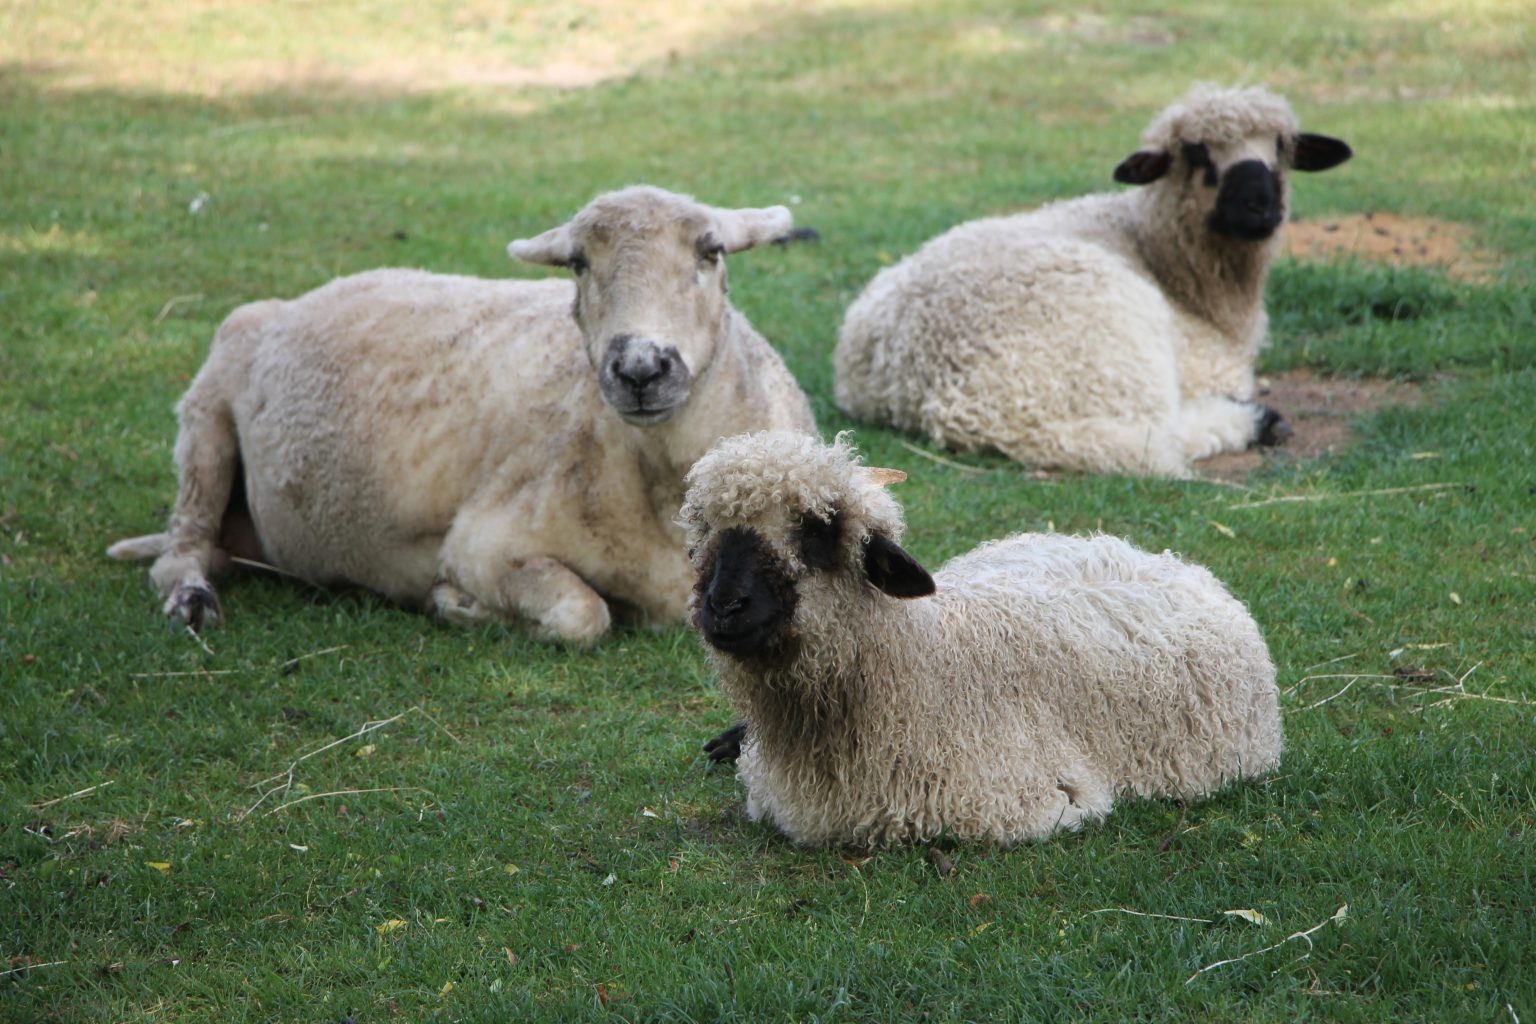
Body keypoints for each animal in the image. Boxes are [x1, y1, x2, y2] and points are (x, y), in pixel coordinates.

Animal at [111, 184, 817, 641]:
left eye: (711, 252)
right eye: (578, 263)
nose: (641, 367)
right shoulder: (484, 543)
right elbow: (581, 616)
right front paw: (456, 605)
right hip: (205, 414)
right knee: (180, 550)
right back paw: (192, 603)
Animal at [835, 83, 1351, 475]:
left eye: (1281, 148)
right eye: (1196, 153)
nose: (1260, 206)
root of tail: (950, 398)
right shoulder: (1211, 366)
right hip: (1123, 343)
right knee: (1160, 432)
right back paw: (1253, 422)